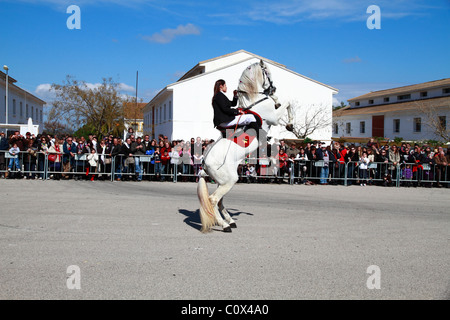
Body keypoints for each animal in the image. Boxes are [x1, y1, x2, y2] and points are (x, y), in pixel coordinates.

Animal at [197, 59, 292, 232]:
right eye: (267, 72)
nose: (274, 89)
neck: (255, 103)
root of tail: (204, 164)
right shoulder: (274, 118)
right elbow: (289, 103)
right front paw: (291, 124)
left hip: (224, 181)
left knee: (220, 201)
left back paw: (230, 221)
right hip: (228, 181)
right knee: (213, 200)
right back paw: (224, 225)